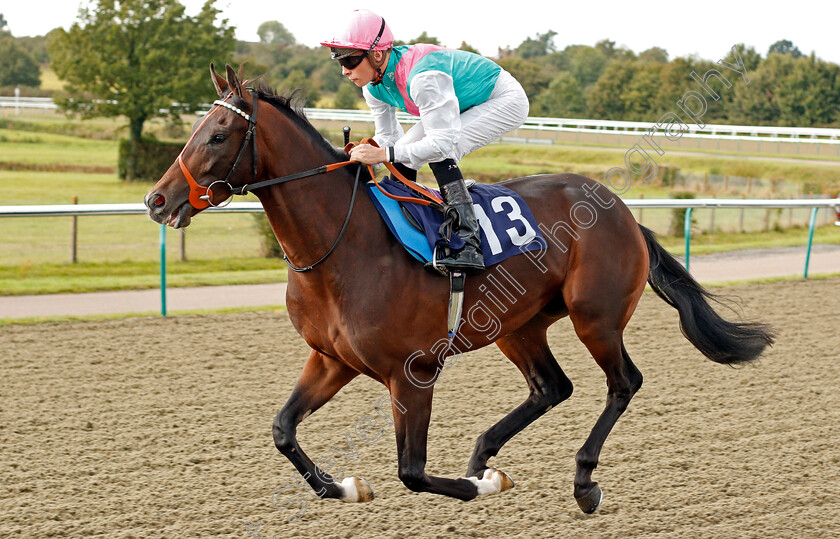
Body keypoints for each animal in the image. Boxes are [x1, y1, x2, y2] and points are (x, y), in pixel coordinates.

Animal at [144, 67, 776, 516]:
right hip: (518, 325)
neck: (342, 248)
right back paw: (483, 458)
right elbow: (282, 431)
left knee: (623, 382)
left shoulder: (414, 371)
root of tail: (621, 210)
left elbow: (412, 471)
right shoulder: (330, 359)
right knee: (552, 386)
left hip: (594, 316)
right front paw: (347, 487)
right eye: (194, 130)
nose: (156, 200)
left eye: (218, 135)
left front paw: (481, 488)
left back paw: (581, 481)